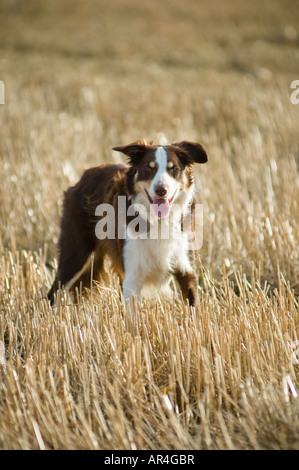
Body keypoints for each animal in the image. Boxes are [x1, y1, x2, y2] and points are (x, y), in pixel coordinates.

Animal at [48, 140, 209, 308]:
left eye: (173, 169)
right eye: (147, 168)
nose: (161, 190)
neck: (159, 221)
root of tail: (84, 176)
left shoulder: (187, 271)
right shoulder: (132, 276)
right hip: (76, 255)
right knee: (53, 293)